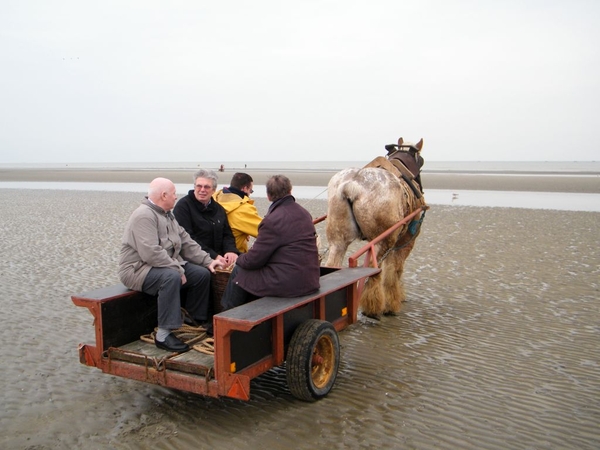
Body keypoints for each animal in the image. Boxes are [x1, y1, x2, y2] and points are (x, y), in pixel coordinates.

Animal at [324, 138, 426, 320]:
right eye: (420, 160)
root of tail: (352, 184)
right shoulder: (406, 242)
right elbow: (394, 271)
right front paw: (392, 303)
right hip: (383, 240)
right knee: (374, 268)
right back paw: (373, 308)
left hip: (339, 239)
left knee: (333, 263)